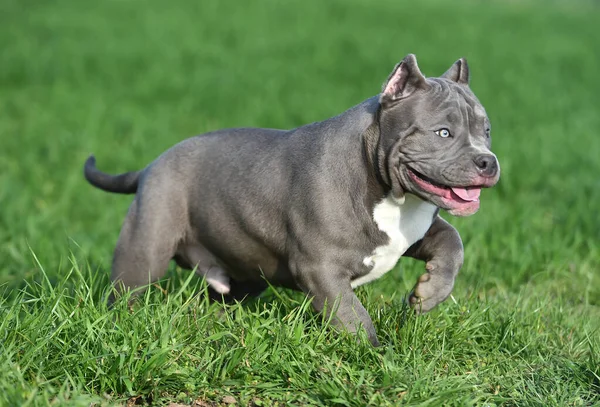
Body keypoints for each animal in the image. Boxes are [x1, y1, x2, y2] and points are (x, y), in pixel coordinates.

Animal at [84, 55, 496, 348]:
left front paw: (428, 294)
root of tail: (151, 165)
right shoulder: (320, 268)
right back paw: (120, 324)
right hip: (145, 248)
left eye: (487, 131)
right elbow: (353, 315)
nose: (488, 162)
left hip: (244, 268)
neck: (392, 192)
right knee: (128, 289)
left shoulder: (412, 231)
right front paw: (376, 355)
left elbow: (452, 242)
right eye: (443, 133)